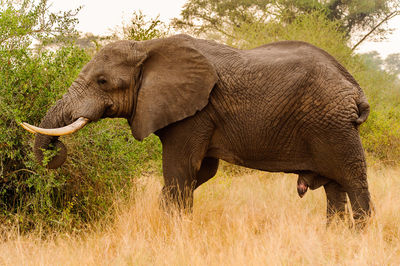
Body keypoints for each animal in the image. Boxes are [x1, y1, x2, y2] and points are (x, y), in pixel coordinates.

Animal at [21, 33, 372, 227]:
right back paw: (333, 236)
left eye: (103, 81)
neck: (147, 48)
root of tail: (356, 89)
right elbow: (199, 172)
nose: (56, 153)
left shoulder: (196, 112)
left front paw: (172, 231)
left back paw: (357, 236)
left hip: (333, 126)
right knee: (334, 188)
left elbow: (180, 171)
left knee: (353, 180)